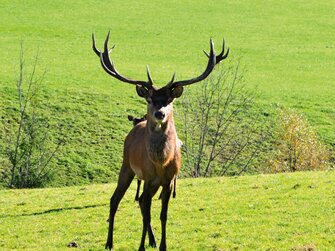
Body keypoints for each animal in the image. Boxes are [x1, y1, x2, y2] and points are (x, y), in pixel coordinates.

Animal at [91, 31, 228, 251]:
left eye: (169, 100)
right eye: (149, 99)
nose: (159, 113)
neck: (161, 161)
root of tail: (134, 127)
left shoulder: (169, 180)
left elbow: (163, 215)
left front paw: (162, 245)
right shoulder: (147, 177)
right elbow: (146, 213)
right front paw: (140, 247)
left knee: (141, 203)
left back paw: (152, 240)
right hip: (127, 166)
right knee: (116, 200)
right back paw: (109, 242)